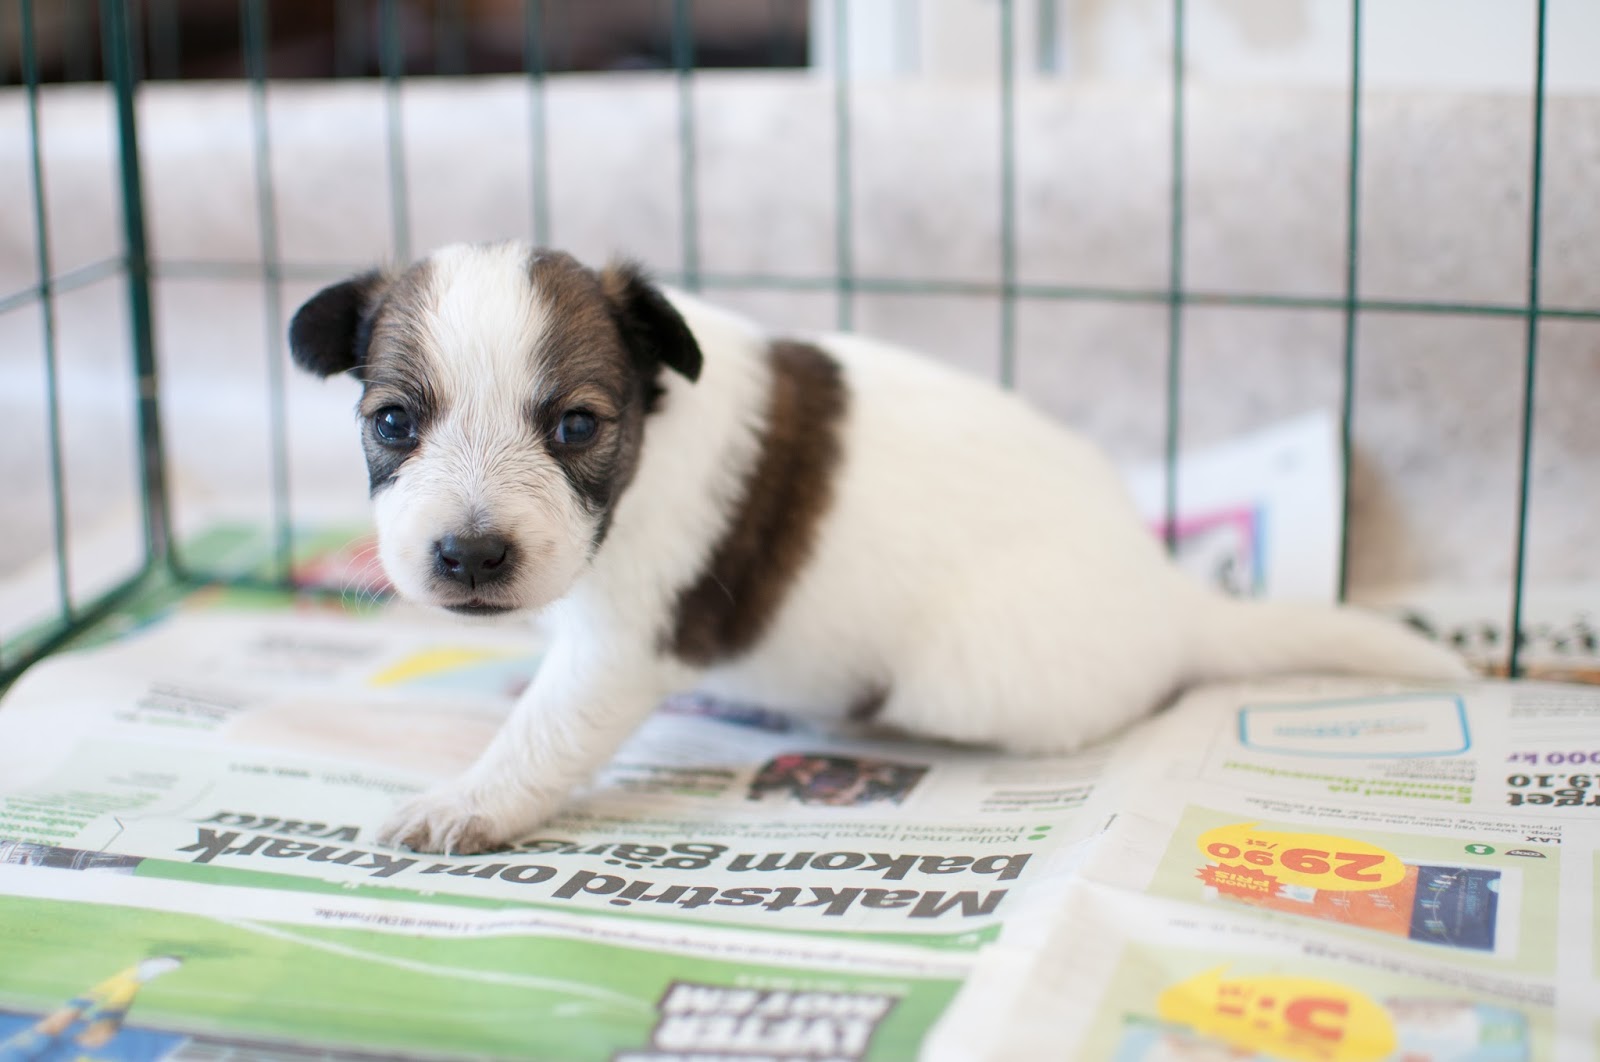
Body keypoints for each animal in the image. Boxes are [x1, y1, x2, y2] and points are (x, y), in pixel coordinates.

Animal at [288, 241, 1469, 854]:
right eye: (393, 422)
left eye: (577, 427)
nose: (471, 558)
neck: (650, 436)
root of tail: (1176, 600)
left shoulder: (625, 644)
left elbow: (546, 732)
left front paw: (471, 800)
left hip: (969, 681)